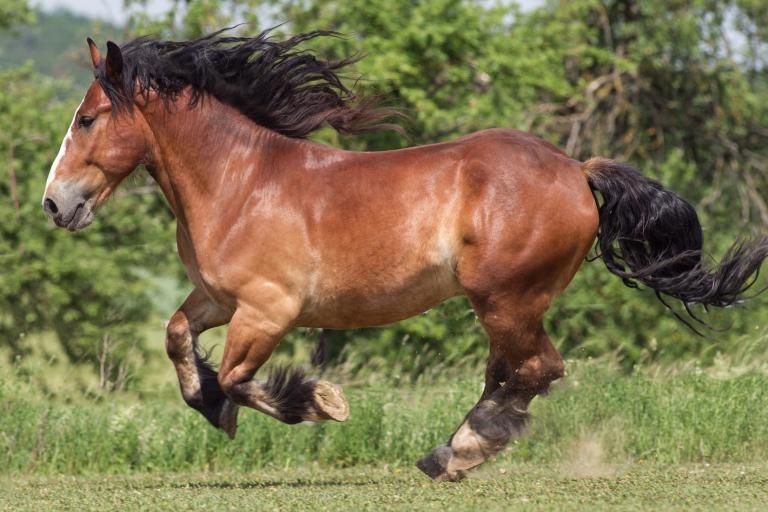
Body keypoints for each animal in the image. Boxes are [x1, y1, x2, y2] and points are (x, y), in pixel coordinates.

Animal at [41, 29, 768, 481]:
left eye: (87, 119)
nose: (54, 205)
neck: (239, 182)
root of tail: (575, 169)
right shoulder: (219, 300)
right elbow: (176, 338)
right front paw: (210, 403)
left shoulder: (268, 309)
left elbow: (243, 378)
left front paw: (319, 402)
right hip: (502, 305)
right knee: (512, 373)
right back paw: (454, 449)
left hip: (506, 298)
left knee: (535, 370)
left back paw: (460, 452)